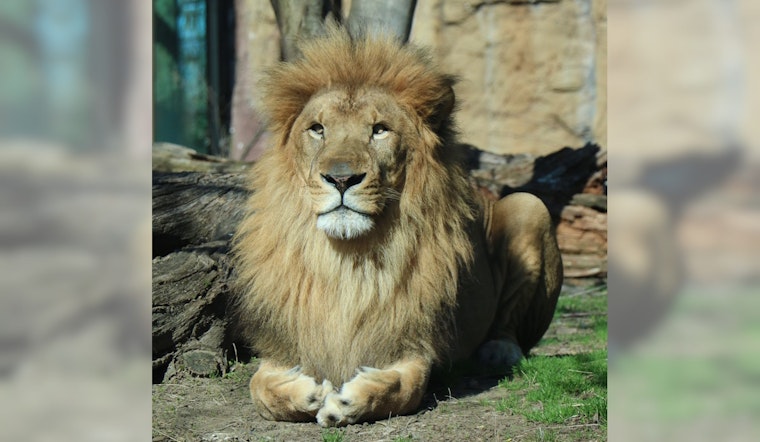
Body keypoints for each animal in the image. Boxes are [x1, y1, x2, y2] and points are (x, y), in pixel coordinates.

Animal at [232, 26, 562, 427]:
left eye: (379, 130)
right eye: (317, 129)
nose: (341, 179)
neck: (347, 259)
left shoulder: (415, 343)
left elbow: (405, 388)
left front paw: (347, 401)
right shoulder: (280, 347)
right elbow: (259, 390)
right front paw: (308, 394)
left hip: (530, 206)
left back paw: (498, 351)